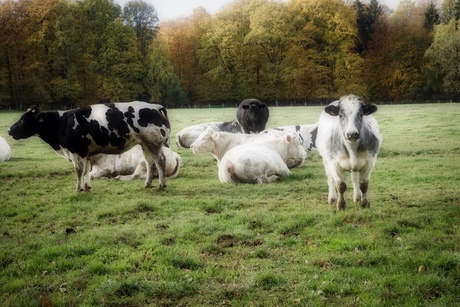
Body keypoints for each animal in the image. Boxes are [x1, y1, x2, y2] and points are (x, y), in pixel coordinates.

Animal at [8, 102, 171, 191]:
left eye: (23, 119)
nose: (9, 130)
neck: (61, 123)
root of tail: (154, 106)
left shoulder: (76, 151)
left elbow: (79, 171)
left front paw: (78, 189)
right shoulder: (85, 152)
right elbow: (86, 170)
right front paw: (87, 187)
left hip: (154, 143)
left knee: (160, 162)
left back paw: (161, 185)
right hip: (145, 144)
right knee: (150, 163)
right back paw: (147, 184)